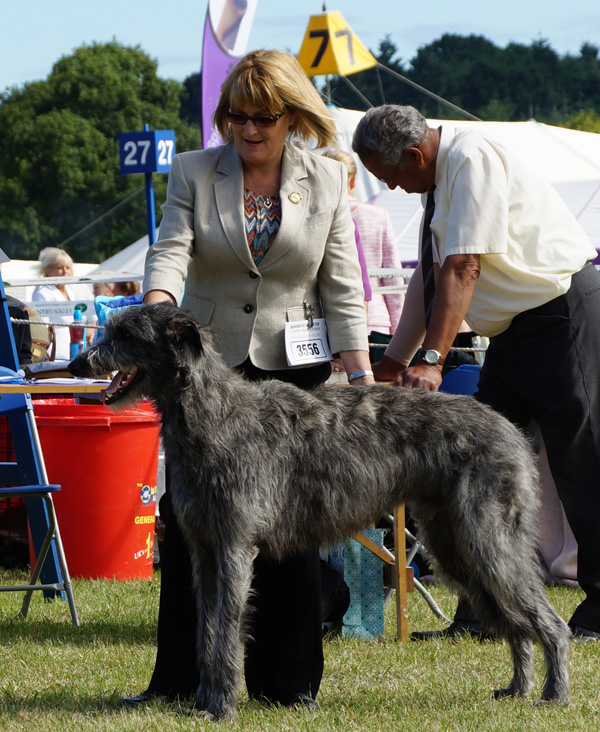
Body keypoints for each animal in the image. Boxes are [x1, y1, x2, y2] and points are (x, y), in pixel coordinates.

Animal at [68, 304, 568, 720]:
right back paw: (519, 688)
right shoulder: (203, 549)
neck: (213, 413)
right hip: (456, 546)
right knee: (517, 624)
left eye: (126, 334)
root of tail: (509, 429)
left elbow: (227, 629)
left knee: (548, 622)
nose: (76, 365)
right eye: (109, 330)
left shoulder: (235, 546)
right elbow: (206, 630)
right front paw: (201, 701)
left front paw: (221, 707)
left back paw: (554, 694)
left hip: (489, 540)